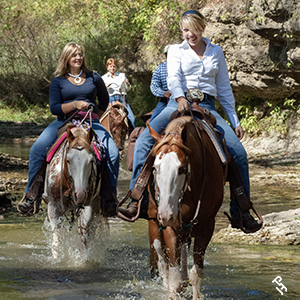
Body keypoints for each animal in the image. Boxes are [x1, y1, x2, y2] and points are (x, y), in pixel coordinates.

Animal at [42, 125, 103, 258]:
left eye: (91, 161)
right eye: (68, 160)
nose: (80, 195)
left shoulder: (88, 206)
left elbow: (84, 236)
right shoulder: (53, 207)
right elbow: (58, 238)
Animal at [146, 116, 226, 298]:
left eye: (181, 169)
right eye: (154, 168)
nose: (166, 215)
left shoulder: (206, 226)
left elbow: (196, 274)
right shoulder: (171, 226)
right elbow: (173, 278)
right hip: (154, 222)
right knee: (162, 262)